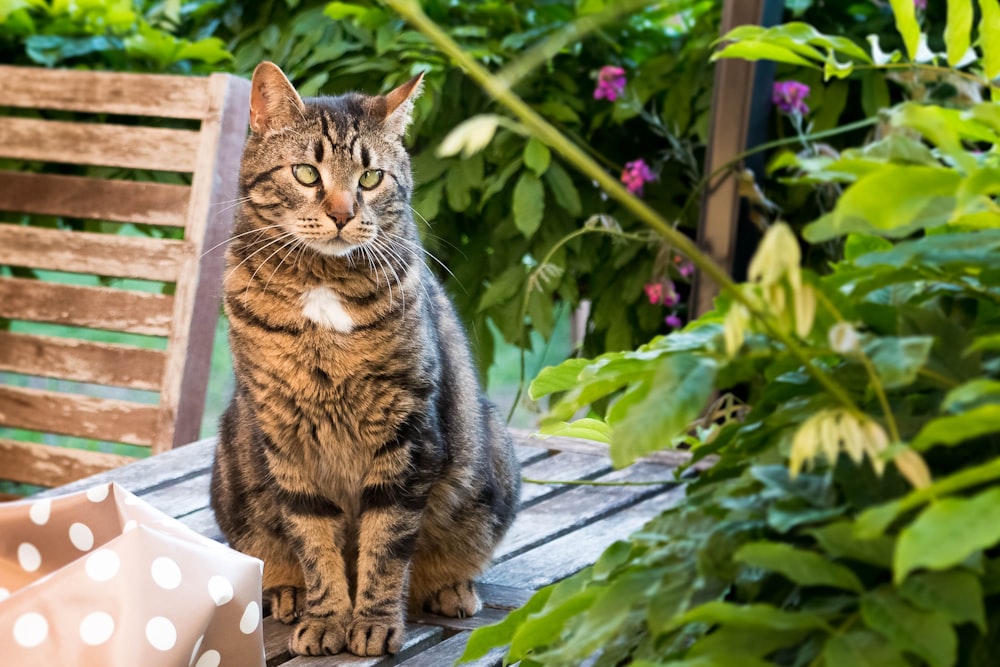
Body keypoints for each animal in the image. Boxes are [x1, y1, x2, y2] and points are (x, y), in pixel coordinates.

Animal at [212, 61, 524, 656]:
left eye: (371, 178)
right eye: (306, 174)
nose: (341, 214)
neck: (322, 287)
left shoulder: (406, 432)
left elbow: (386, 543)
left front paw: (374, 622)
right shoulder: (287, 438)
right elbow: (315, 541)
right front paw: (327, 617)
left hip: (490, 465)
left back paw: (451, 589)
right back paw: (287, 593)